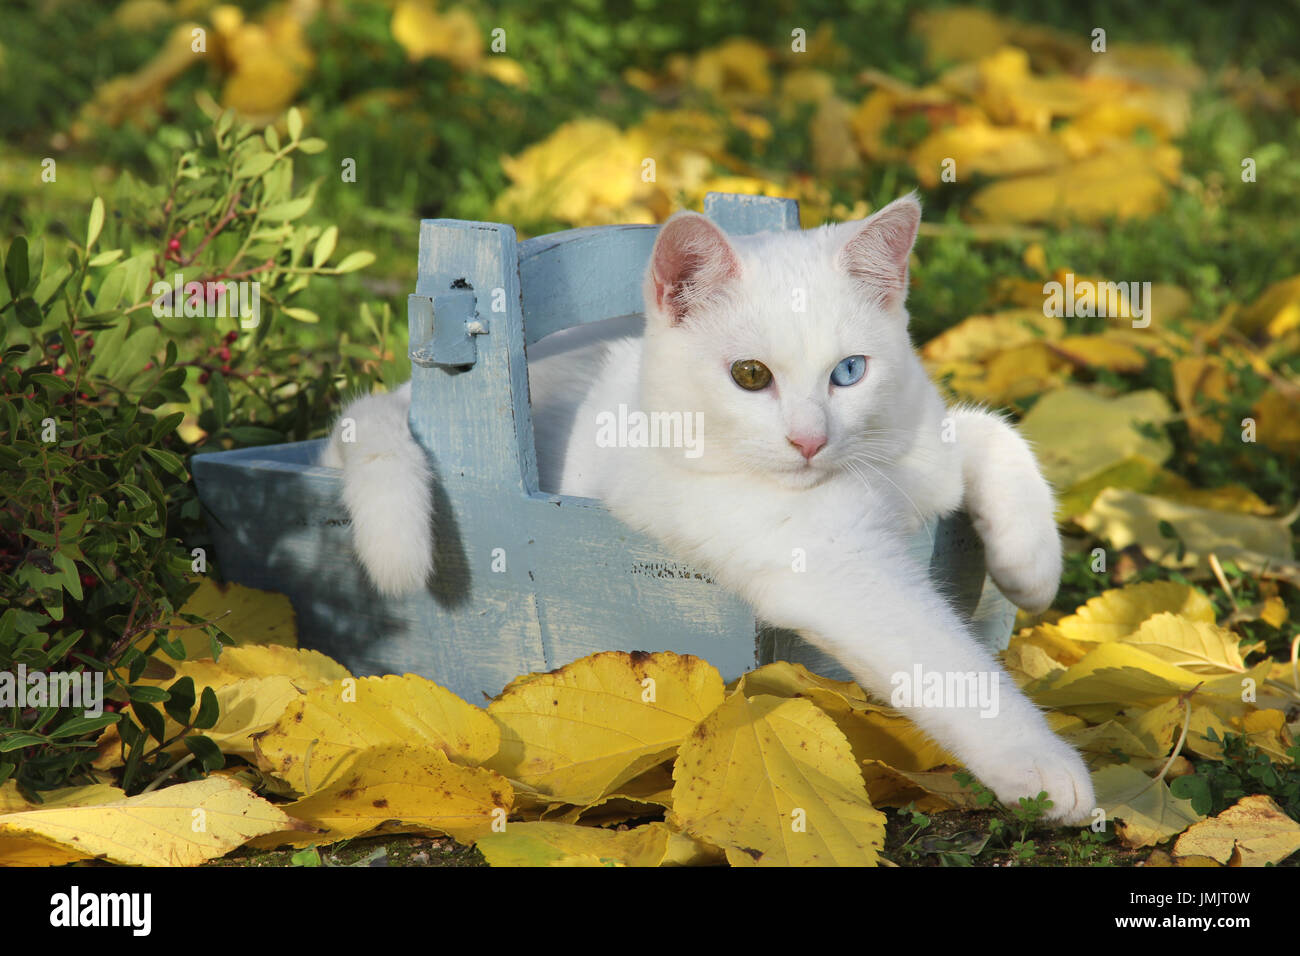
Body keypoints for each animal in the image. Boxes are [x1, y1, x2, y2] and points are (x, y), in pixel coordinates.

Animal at [319, 195, 1092, 822]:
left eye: (850, 371)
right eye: (750, 376)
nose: (810, 439)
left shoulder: (918, 446)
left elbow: (992, 432)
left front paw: (1031, 569)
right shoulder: (831, 563)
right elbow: (943, 657)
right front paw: (1044, 769)